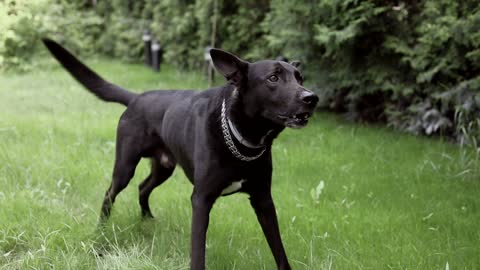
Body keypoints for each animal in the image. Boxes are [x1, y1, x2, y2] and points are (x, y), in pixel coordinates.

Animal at [42, 38, 318, 270]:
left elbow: (278, 248)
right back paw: (101, 229)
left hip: (164, 167)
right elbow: (197, 252)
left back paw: (148, 220)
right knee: (111, 193)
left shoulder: (263, 199)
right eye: (273, 78)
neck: (242, 138)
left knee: (143, 187)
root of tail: (136, 97)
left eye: (300, 78)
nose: (312, 98)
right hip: (125, 166)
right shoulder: (201, 199)